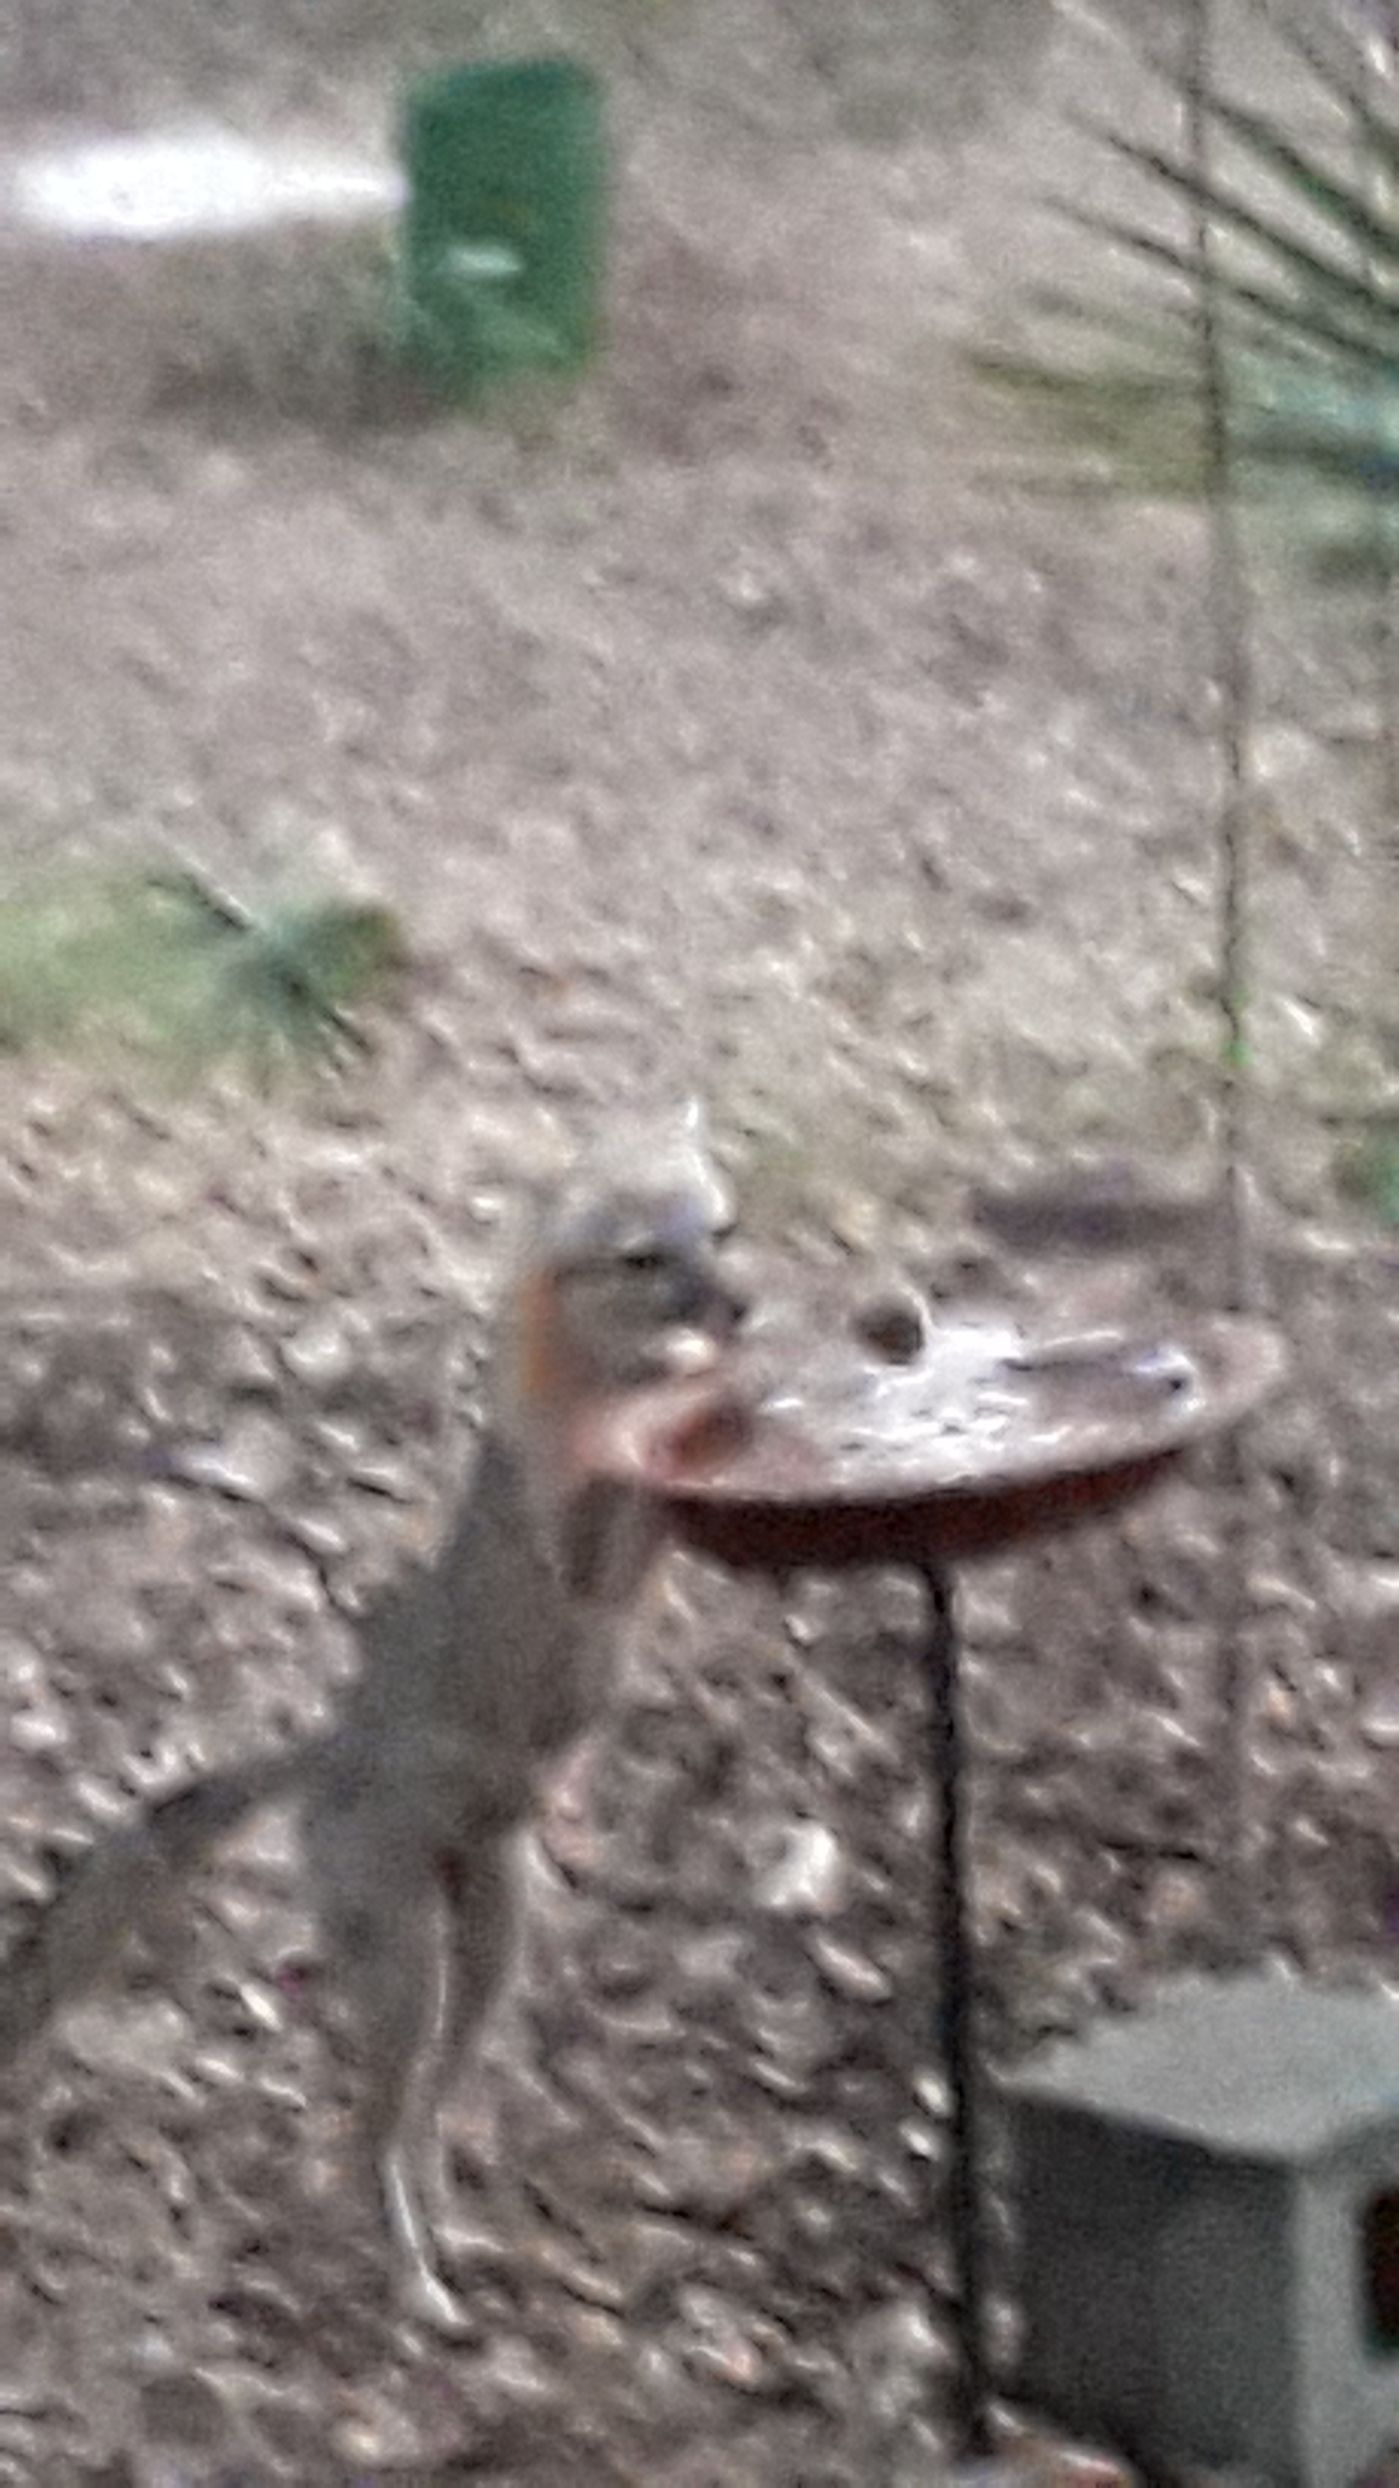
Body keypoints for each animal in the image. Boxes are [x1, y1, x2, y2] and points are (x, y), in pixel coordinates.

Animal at [0, 1102, 748, 2333]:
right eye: (645, 1259)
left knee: (429, 2112)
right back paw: (411, 2280)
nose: (739, 1308)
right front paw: (711, 1389)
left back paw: (449, 2232)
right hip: (407, 1971)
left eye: (721, 1232)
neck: (596, 1393)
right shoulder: (576, 1544)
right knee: (368, 2138)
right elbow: (619, 1497)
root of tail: (326, 1754)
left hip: (492, 1943)